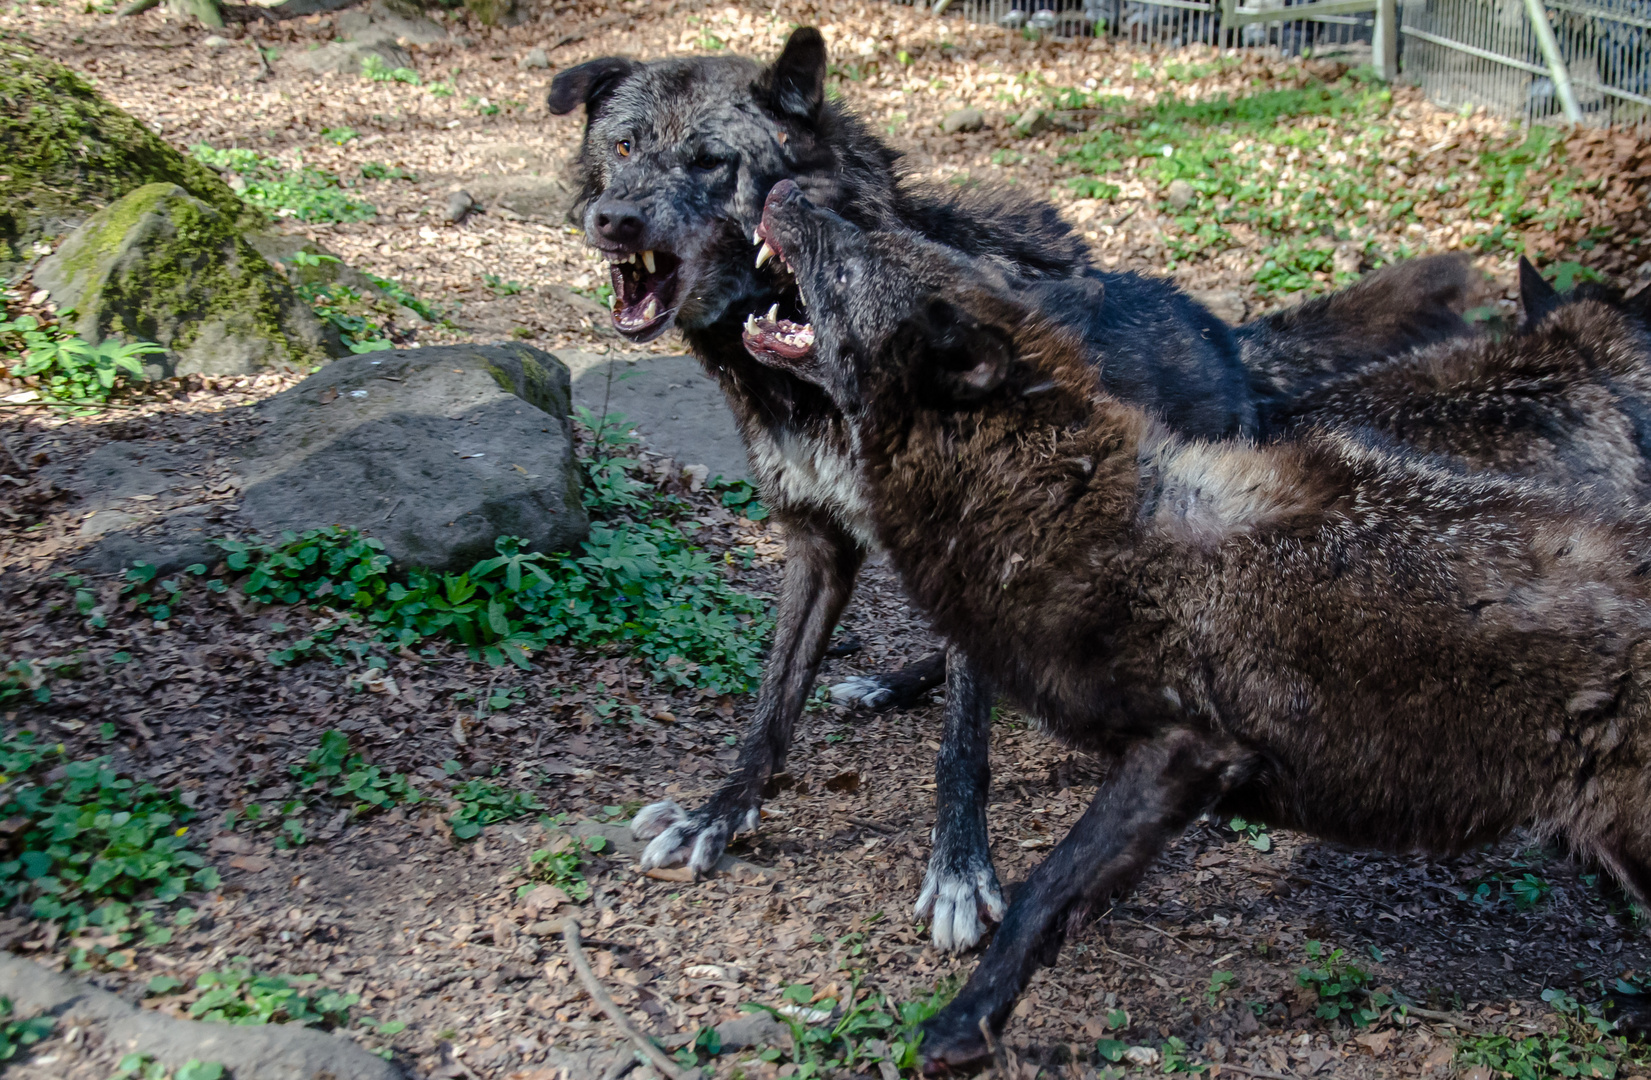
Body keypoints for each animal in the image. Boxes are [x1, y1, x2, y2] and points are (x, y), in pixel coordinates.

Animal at [752, 186, 1651, 1076]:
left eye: (855, 260)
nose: (786, 191)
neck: (1069, 509)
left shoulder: (1186, 749)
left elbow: (1041, 891)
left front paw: (959, 1027)